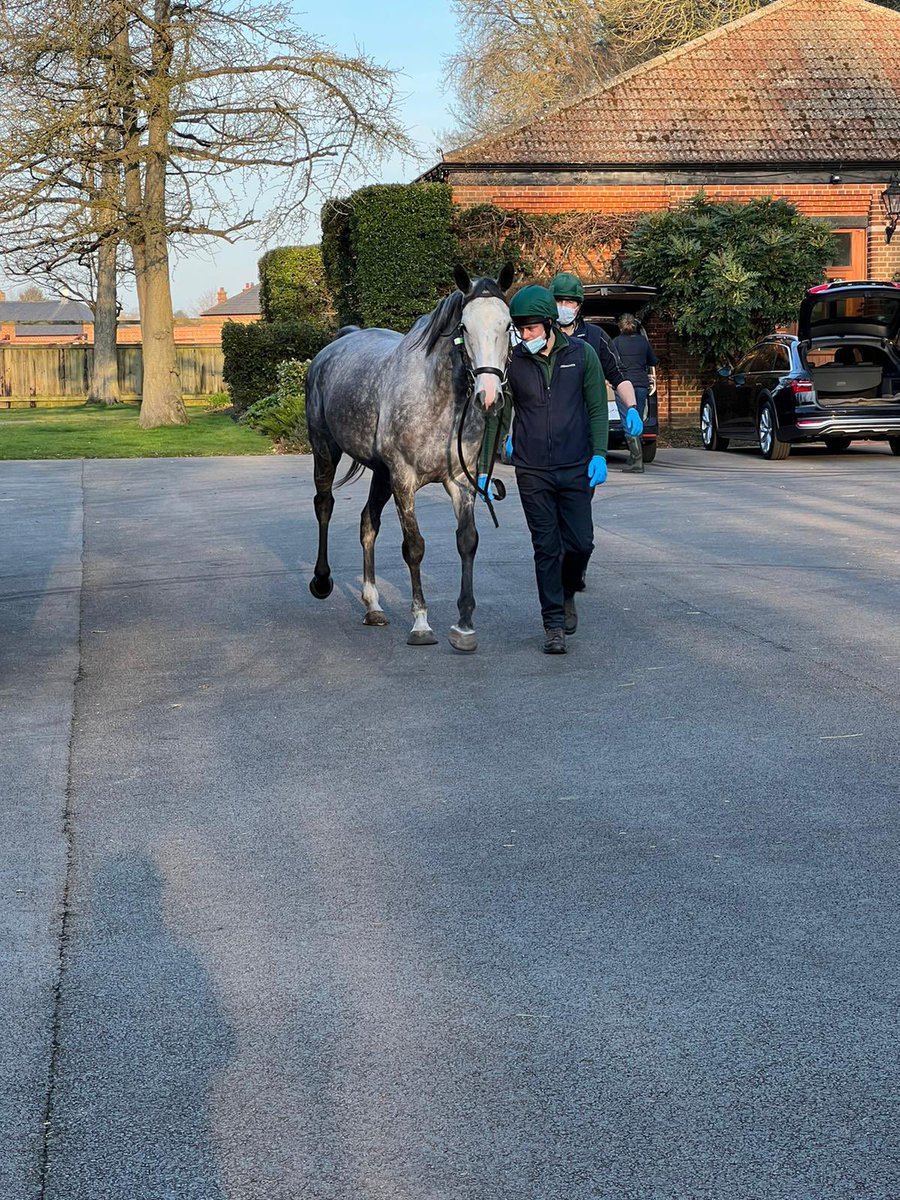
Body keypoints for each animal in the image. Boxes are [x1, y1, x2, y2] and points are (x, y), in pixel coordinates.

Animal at [303, 264, 514, 653]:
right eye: (464, 327)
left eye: (507, 325)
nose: (488, 395)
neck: (437, 398)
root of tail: (335, 345)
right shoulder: (404, 479)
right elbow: (414, 547)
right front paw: (420, 623)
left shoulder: (460, 482)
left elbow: (467, 541)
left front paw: (464, 625)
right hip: (325, 449)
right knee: (324, 504)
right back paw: (322, 581)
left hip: (379, 474)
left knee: (367, 523)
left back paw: (373, 605)